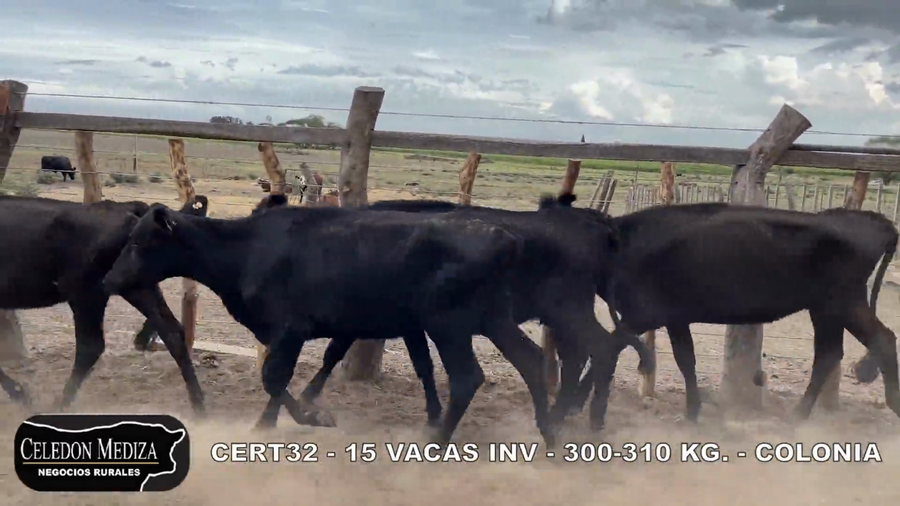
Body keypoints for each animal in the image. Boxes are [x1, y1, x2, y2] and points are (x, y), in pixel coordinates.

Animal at [0, 195, 209, 416]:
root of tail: (128, 208)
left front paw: (19, 393)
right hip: (137, 288)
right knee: (172, 332)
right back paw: (200, 409)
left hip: (86, 294)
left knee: (91, 346)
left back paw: (58, 406)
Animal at [249, 193, 654, 432]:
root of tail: (591, 219)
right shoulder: (406, 322)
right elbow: (421, 364)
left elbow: (337, 351)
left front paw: (307, 396)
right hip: (567, 312)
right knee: (585, 353)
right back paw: (570, 414)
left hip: (567, 307)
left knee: (598, 349)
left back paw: (581, 417)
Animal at [542, 196, 900, 428]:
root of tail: (873, 220)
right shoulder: (675, 316)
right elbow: (685, 359)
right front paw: (693, 411)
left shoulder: (643, 314)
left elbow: (611, 346)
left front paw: (573, 403)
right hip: (827, 307)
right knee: (833, 353)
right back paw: (800, 415)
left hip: (840, 302)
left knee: (876, 340)